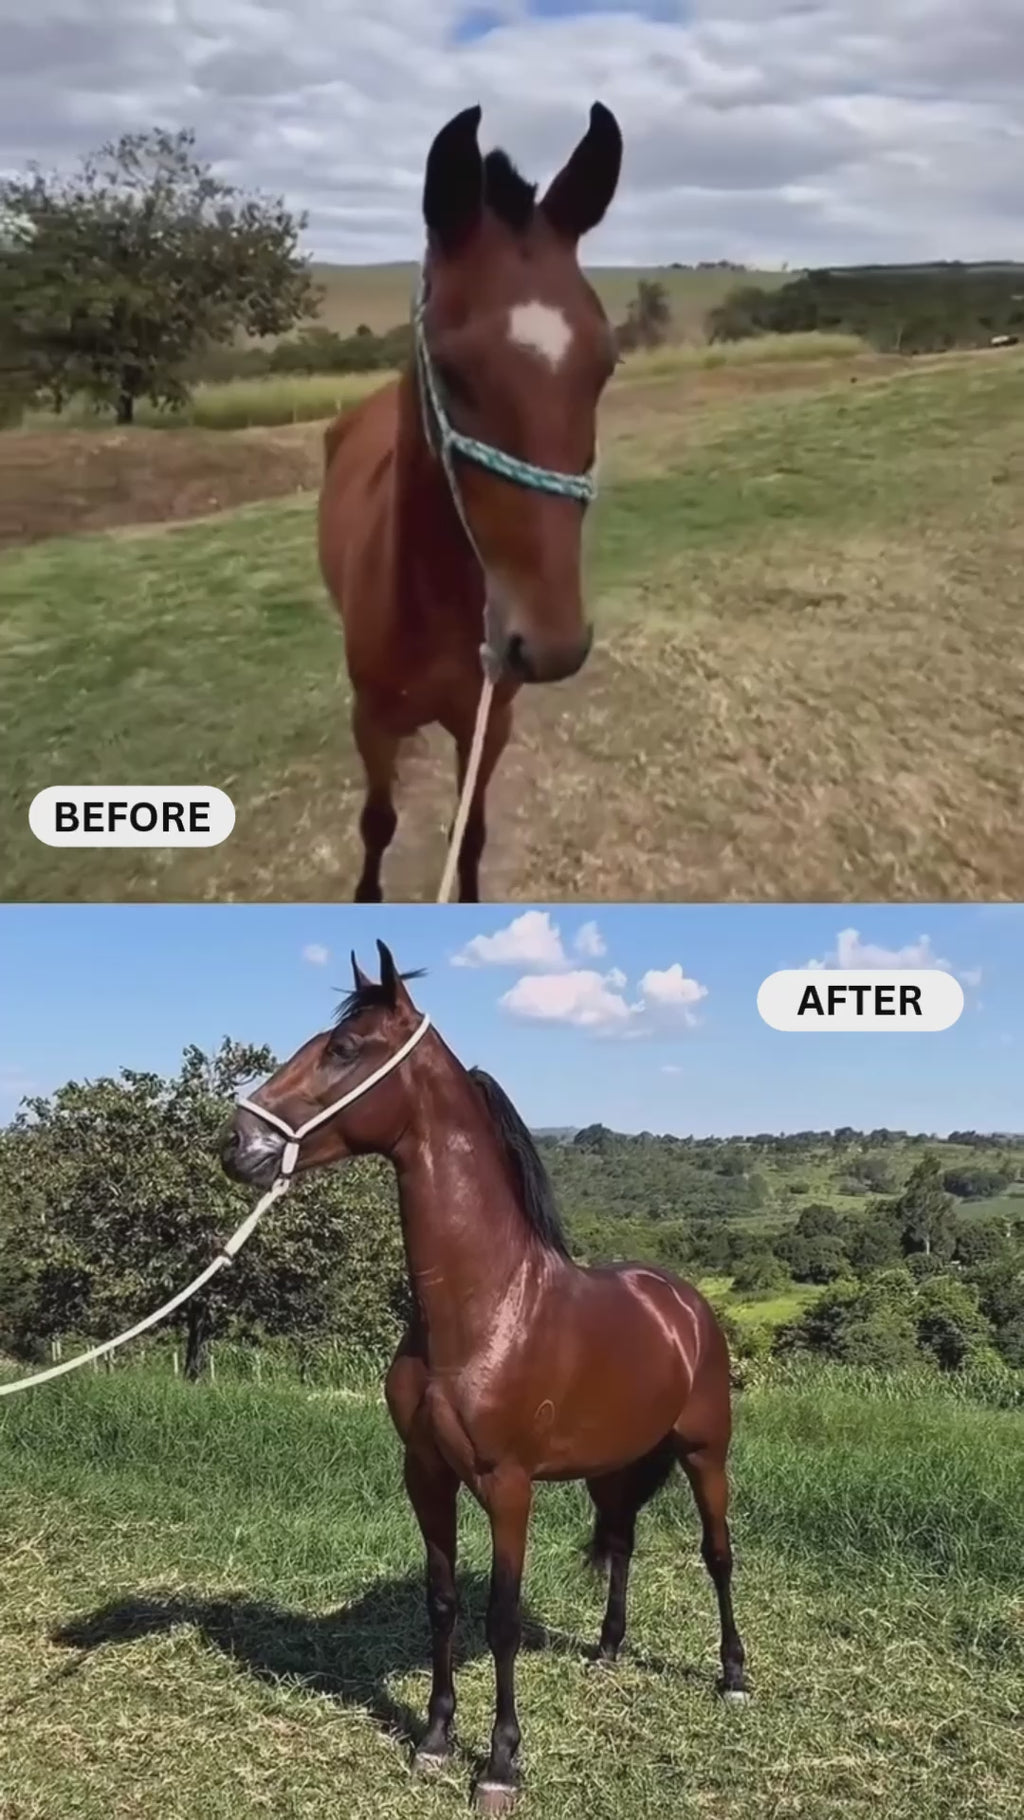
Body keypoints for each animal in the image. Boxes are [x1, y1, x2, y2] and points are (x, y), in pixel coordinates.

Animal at [221, 942, 749, 1814]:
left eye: (343, 1049)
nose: (236, 1143)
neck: (485, 1310)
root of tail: (684, 1304)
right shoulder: (426, 1473)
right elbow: (443, 1602)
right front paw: (435, 1739)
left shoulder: (508, 1486)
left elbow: (501, 1616)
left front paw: (501, 1763)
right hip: (615, 1465)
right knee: (623, 1540)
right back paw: (607, 1652)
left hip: (707, 1454)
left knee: (718, 1554)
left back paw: (734, 1675)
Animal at [318, 103, 624, 904]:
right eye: (452, 371)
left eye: (606, 364)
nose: (550, 644)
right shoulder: (371, 723)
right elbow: (377, 824)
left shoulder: (492, 723)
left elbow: (473, 831)